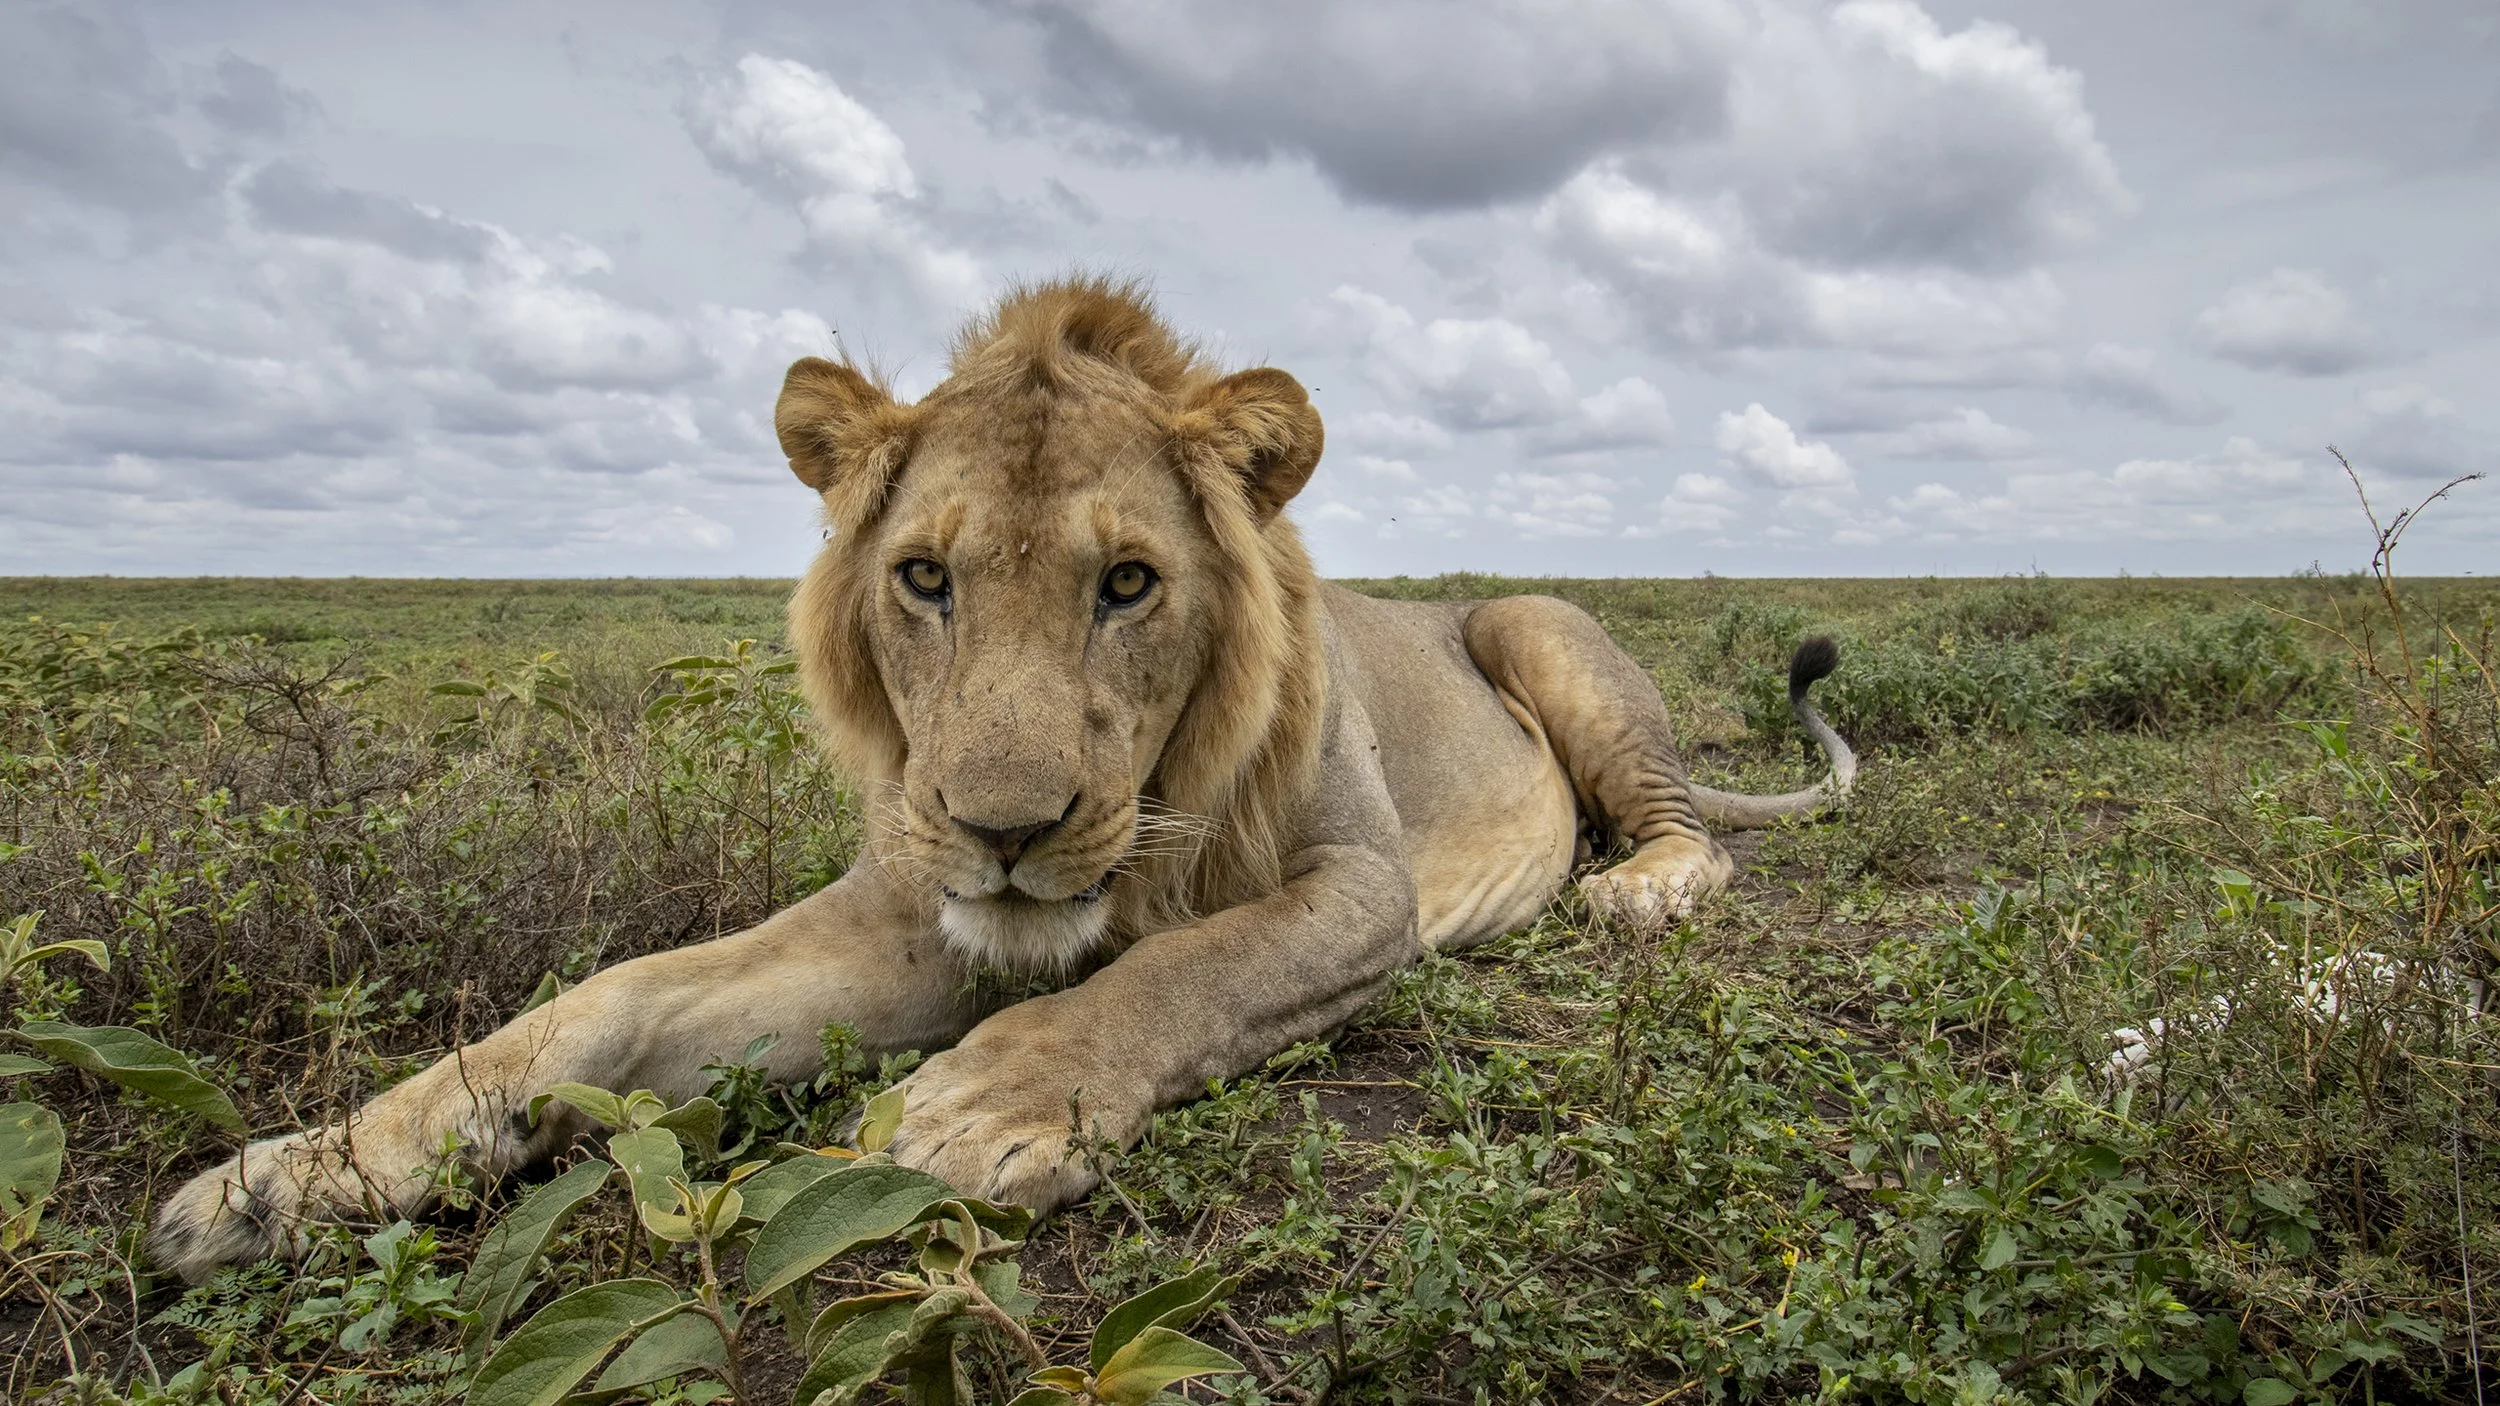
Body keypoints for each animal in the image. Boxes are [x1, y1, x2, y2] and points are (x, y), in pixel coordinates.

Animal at [151, 276, 1853, 1280]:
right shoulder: (907, 904)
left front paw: (979, 1102)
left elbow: (1188, 966)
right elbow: (606, 1000)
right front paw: (292, 1173)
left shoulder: (1361, 886)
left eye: (1128, 583)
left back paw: (1634, 891)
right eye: (924, 578)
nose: (1006, 830)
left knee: (1695, 830)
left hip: (1533, 623)